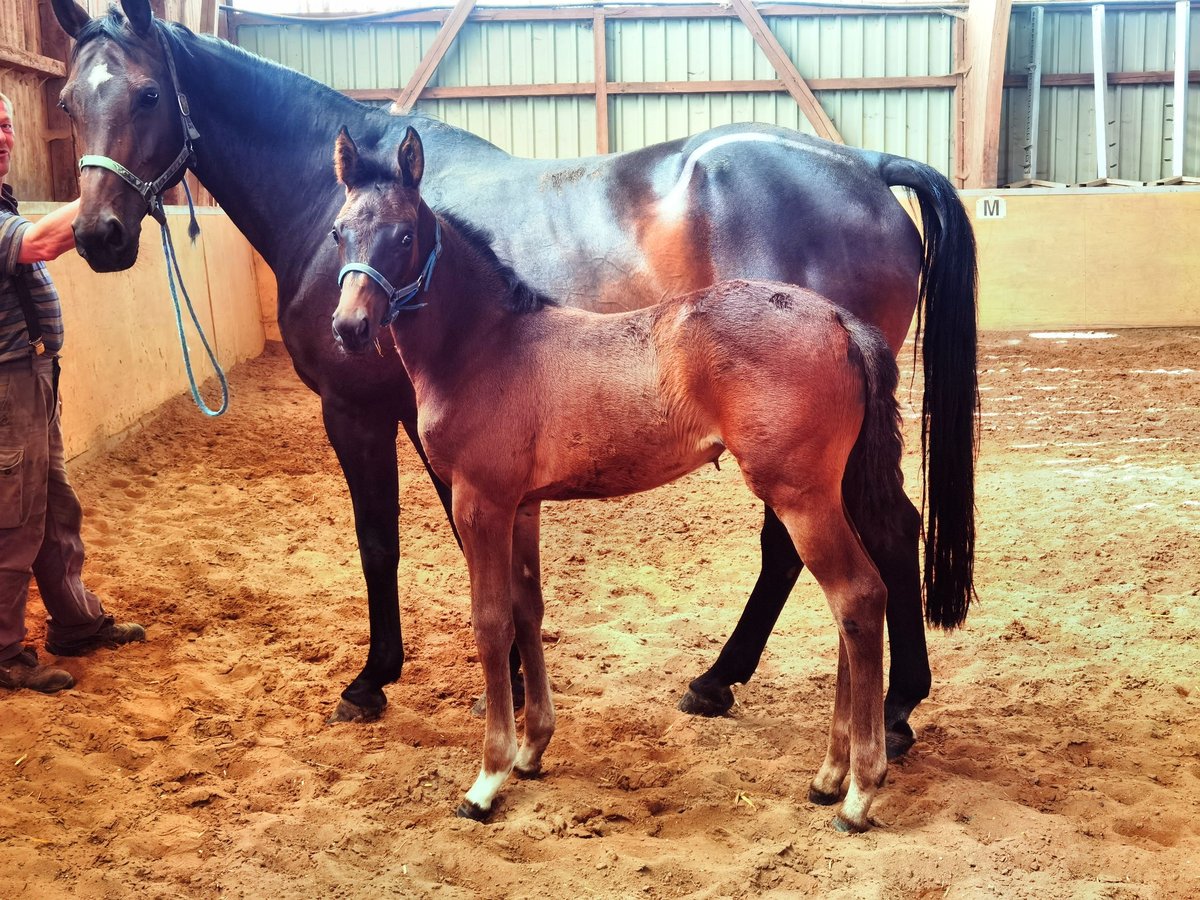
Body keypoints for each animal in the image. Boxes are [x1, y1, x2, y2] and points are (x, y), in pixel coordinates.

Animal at [333, 125, 902, 830]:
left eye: (404, 235)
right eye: (339, 231)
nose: (349, 328)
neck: (488, 347)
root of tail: (840, 322)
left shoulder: (480, 502)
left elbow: (490, 623)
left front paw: (488, 778)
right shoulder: (523, 506)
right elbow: (527, 609)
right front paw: (532, 749)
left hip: (801, 497)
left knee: (857, 598)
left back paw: (858, 791)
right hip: (830, 493)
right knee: (854, 606)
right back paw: (829, 774)